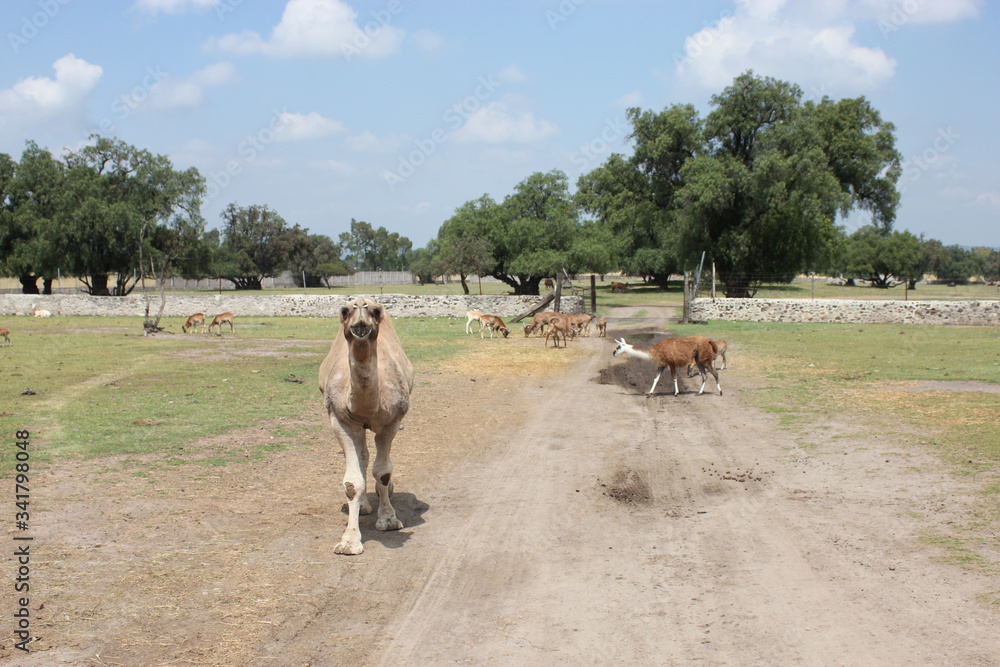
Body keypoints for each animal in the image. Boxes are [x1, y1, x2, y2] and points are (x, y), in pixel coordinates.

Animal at [320, 300, 414, 556]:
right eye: (344, 311)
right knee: (361, 457)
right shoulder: (341, 420)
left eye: (376, 311)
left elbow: (383, 472)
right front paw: (349, 541)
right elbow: (352, 482)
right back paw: (362, 506)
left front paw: (389, 519)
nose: (359, 305)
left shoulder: (392, 422)